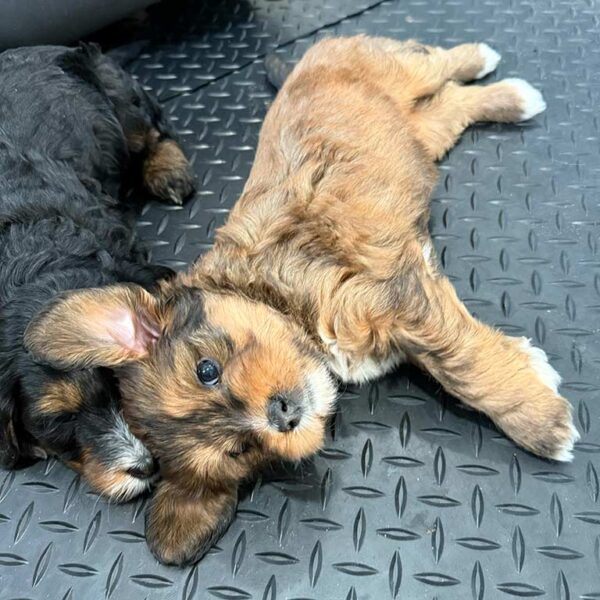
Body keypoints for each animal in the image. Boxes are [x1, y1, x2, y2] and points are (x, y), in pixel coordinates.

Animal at [25, 35, 580, 564]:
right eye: (239, 449)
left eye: (207, 370)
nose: (284, 415)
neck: (276, 298)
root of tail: (312, 53)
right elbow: (460, 349)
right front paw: (528, 368)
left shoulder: (392, 298)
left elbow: (461, 364)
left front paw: (543, 424)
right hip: (420, 133)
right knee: (450, 105)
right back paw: (511, 97)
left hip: (398, 71)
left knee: (438, 65)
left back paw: (486, 63)